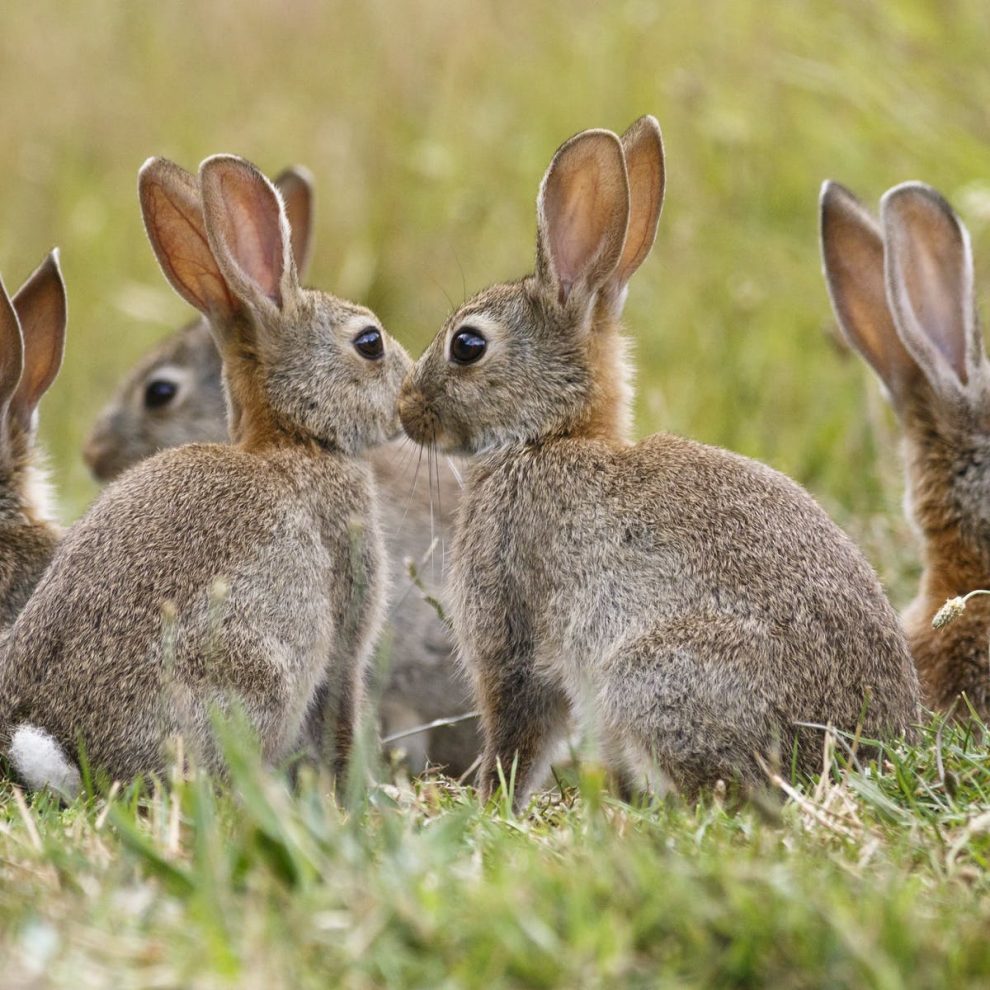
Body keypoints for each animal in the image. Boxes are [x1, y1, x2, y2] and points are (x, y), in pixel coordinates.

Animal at [0, 153, 411, 797]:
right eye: (369, 343)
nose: (412, 389)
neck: (294, 438)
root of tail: (58, 752)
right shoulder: (345, 627)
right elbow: (341, 713)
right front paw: (357, 796)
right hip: (252, 674)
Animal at [398, 116, 920, 808]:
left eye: (467, 345)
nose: (404, 409)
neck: (547, 436)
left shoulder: (510, 628)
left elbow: (518, 729)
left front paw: (490, 802)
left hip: (650, 676)